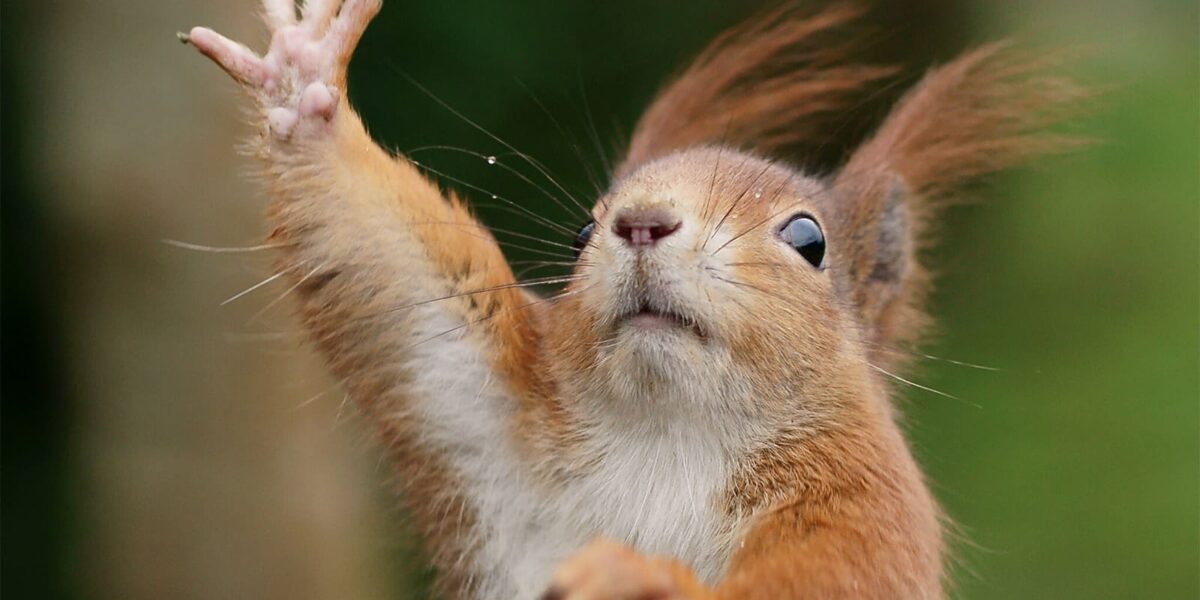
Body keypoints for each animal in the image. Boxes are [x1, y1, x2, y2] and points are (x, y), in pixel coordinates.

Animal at [182, 1, 1084, 600]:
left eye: (809, 240)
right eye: (584, 229)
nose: (640, 221)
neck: (670, 432)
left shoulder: (865, 515)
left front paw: (635, 577)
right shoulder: (479, 404)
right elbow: (388, 267)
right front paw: (303, 83)